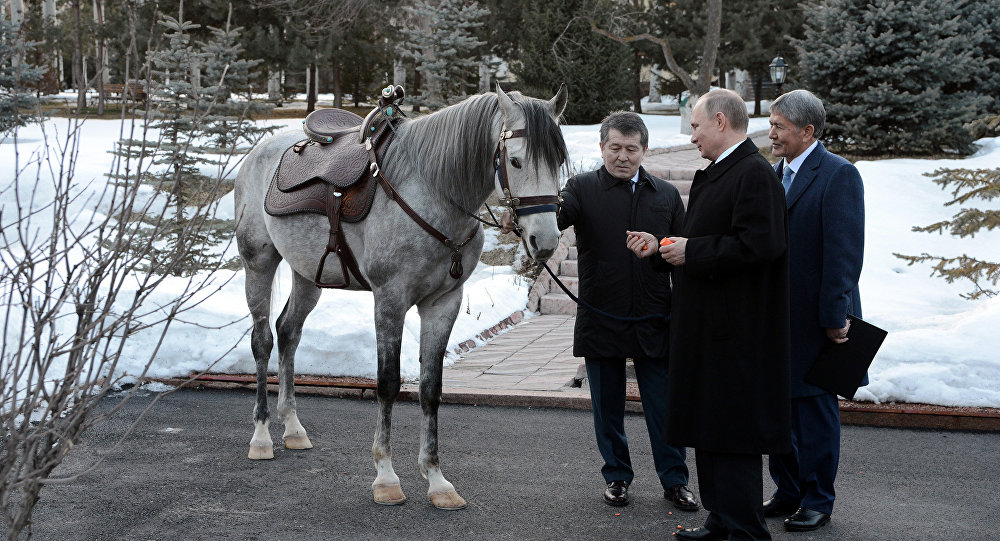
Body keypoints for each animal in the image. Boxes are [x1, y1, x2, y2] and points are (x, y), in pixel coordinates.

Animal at [230, 83, 568, 506]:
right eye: (517, 161)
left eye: (558, 161)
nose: (546, 241)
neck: (433, 195)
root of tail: (258, 152)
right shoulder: (389, 300)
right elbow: (388, 383)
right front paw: (386, 477)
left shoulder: (443, 304)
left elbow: (430, 387)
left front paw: (437, 480)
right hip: (258, 262)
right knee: (262, 340)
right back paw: (261, 436)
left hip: (308, 275)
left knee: (288, 333)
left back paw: (293, 428)